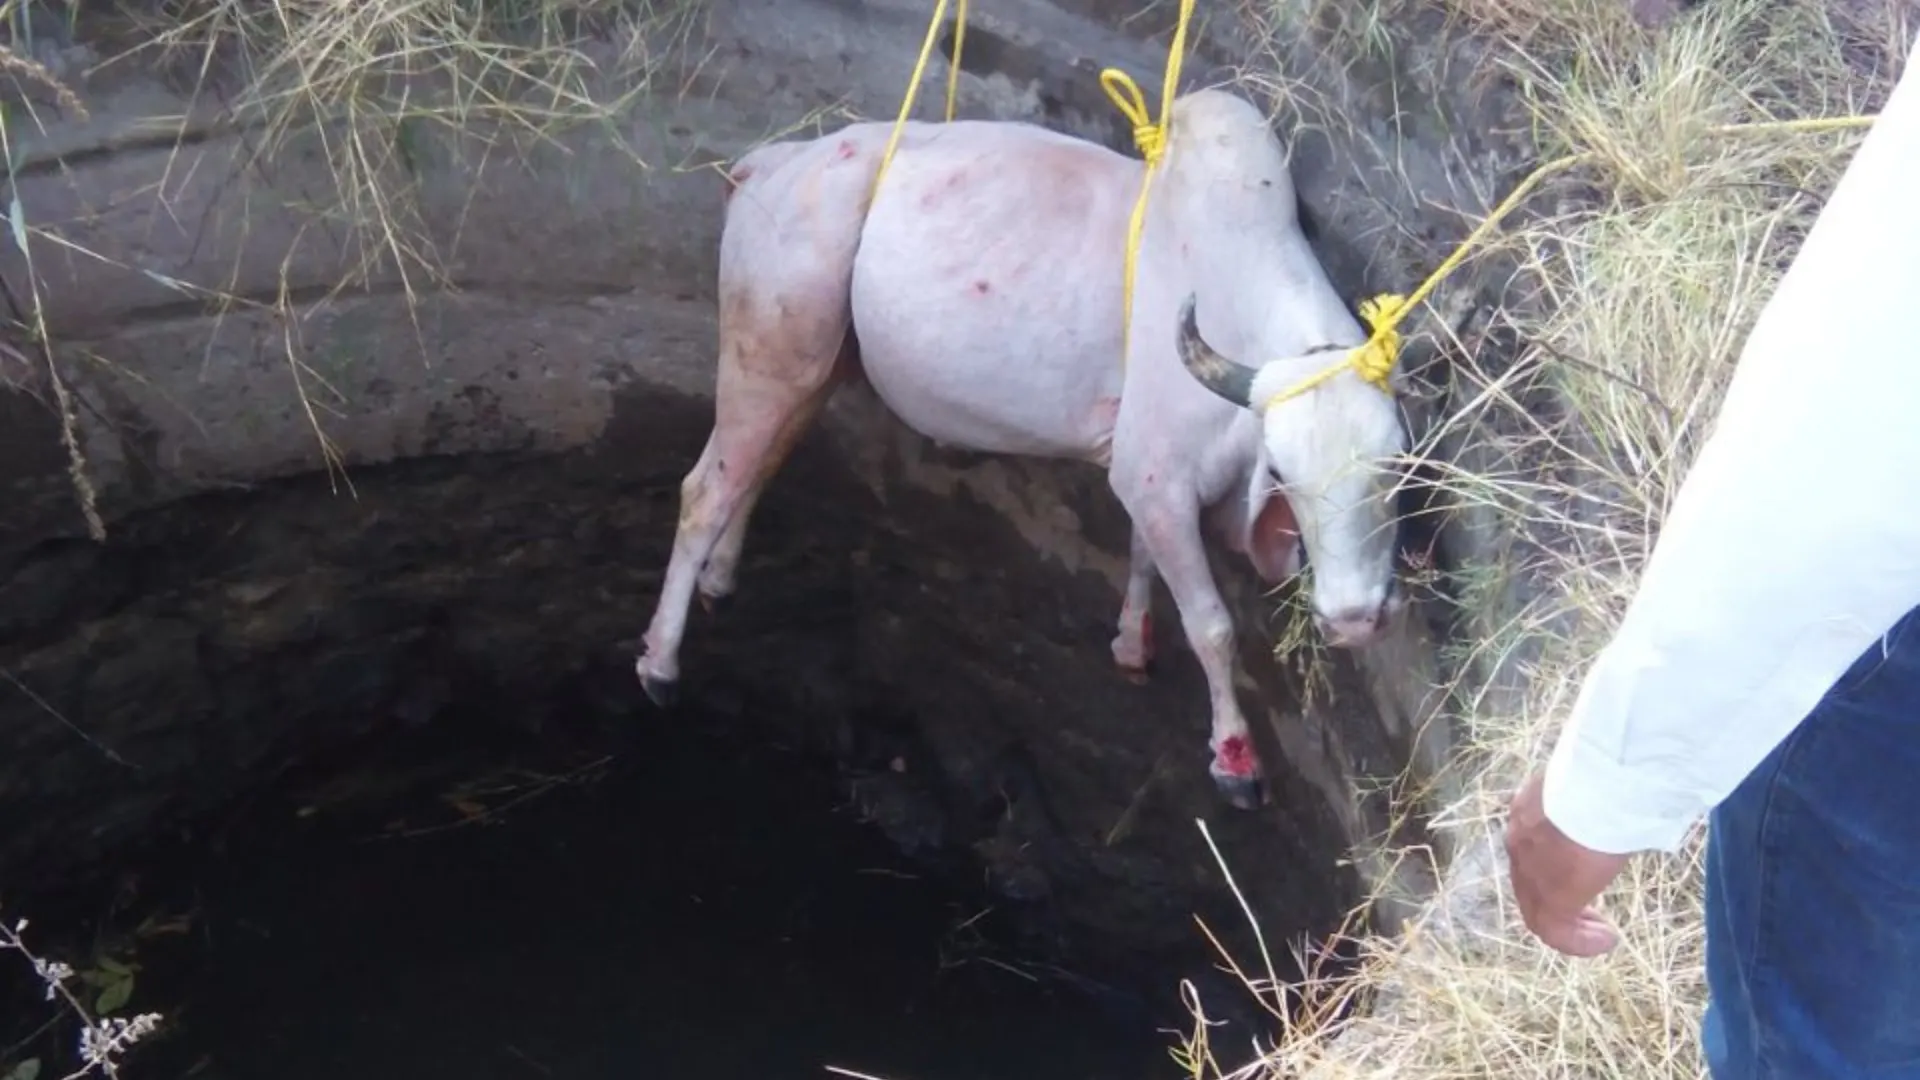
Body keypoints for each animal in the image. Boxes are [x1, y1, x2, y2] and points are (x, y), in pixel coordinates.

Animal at [634, 87, 1410, 810]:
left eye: (1398, 470)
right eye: (1282, 471)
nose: (1356, 618)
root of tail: (767, 164)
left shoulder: (1144, 478)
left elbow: (1142, 561)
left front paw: (1131, 643)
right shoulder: (1158, 481)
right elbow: (1211, 626)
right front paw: (1234, 761)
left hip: (815, 366)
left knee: (758, 463)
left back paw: (719, 578)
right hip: (769, 350)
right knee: (705, 490)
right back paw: (659, 663)